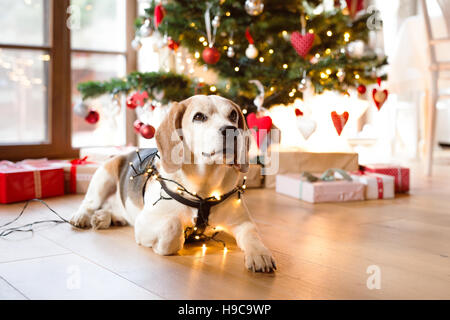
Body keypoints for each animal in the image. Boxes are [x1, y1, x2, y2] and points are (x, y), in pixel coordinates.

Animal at [70, 95, 276, 272]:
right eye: (199, 117)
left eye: (233, 115)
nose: (231, 130)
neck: (204, 187)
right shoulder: (144, 222)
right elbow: (172, 225)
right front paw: (166, 244)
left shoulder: (242, 221)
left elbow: (252, 235)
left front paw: (260, 253)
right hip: (103, 177)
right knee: (88, 204)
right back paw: (82, 217)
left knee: (112, 211)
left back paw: (104, 217)